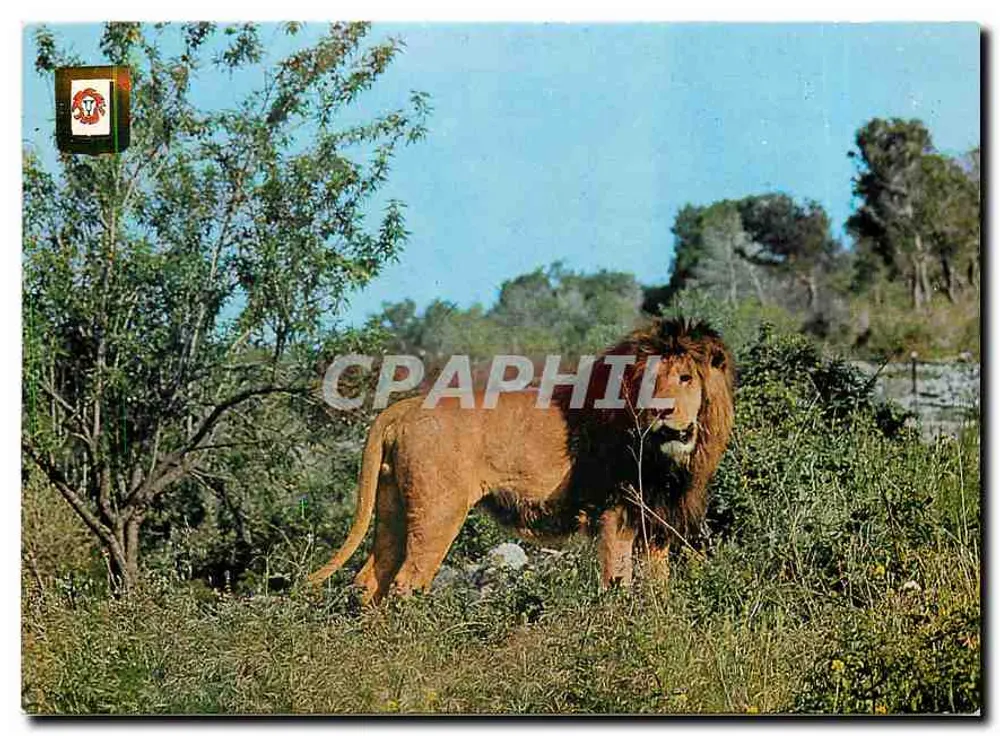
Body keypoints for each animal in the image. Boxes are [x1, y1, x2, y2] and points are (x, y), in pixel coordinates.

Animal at [307, 317, 735, 604]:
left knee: (369, 581)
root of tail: (405, 407)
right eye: (650, 381)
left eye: (684, 378)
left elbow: (658, 586)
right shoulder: (614, 513)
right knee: (405, 584)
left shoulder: (655, 520)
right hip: (436, 514)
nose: (659, 411)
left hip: (394, 506)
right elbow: (617, 581)